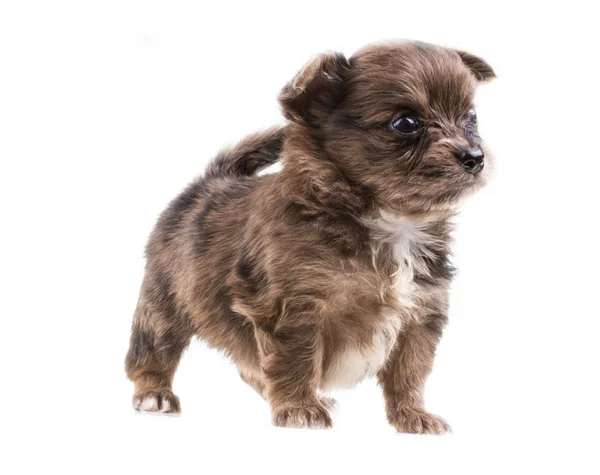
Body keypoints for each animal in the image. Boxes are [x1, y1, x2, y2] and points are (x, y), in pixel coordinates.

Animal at [124, 41, 494, 436]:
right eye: (406, 123)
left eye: (471, 116)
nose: (475, 157)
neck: (390, 222)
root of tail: (214, 179)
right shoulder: (294, 307)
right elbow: (296, 359)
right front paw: (299, 408)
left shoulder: (421, 312)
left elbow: (410, 371)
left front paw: (412, 414)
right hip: (164, 300)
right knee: (154, 347)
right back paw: (154, 394)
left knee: (250, 368)